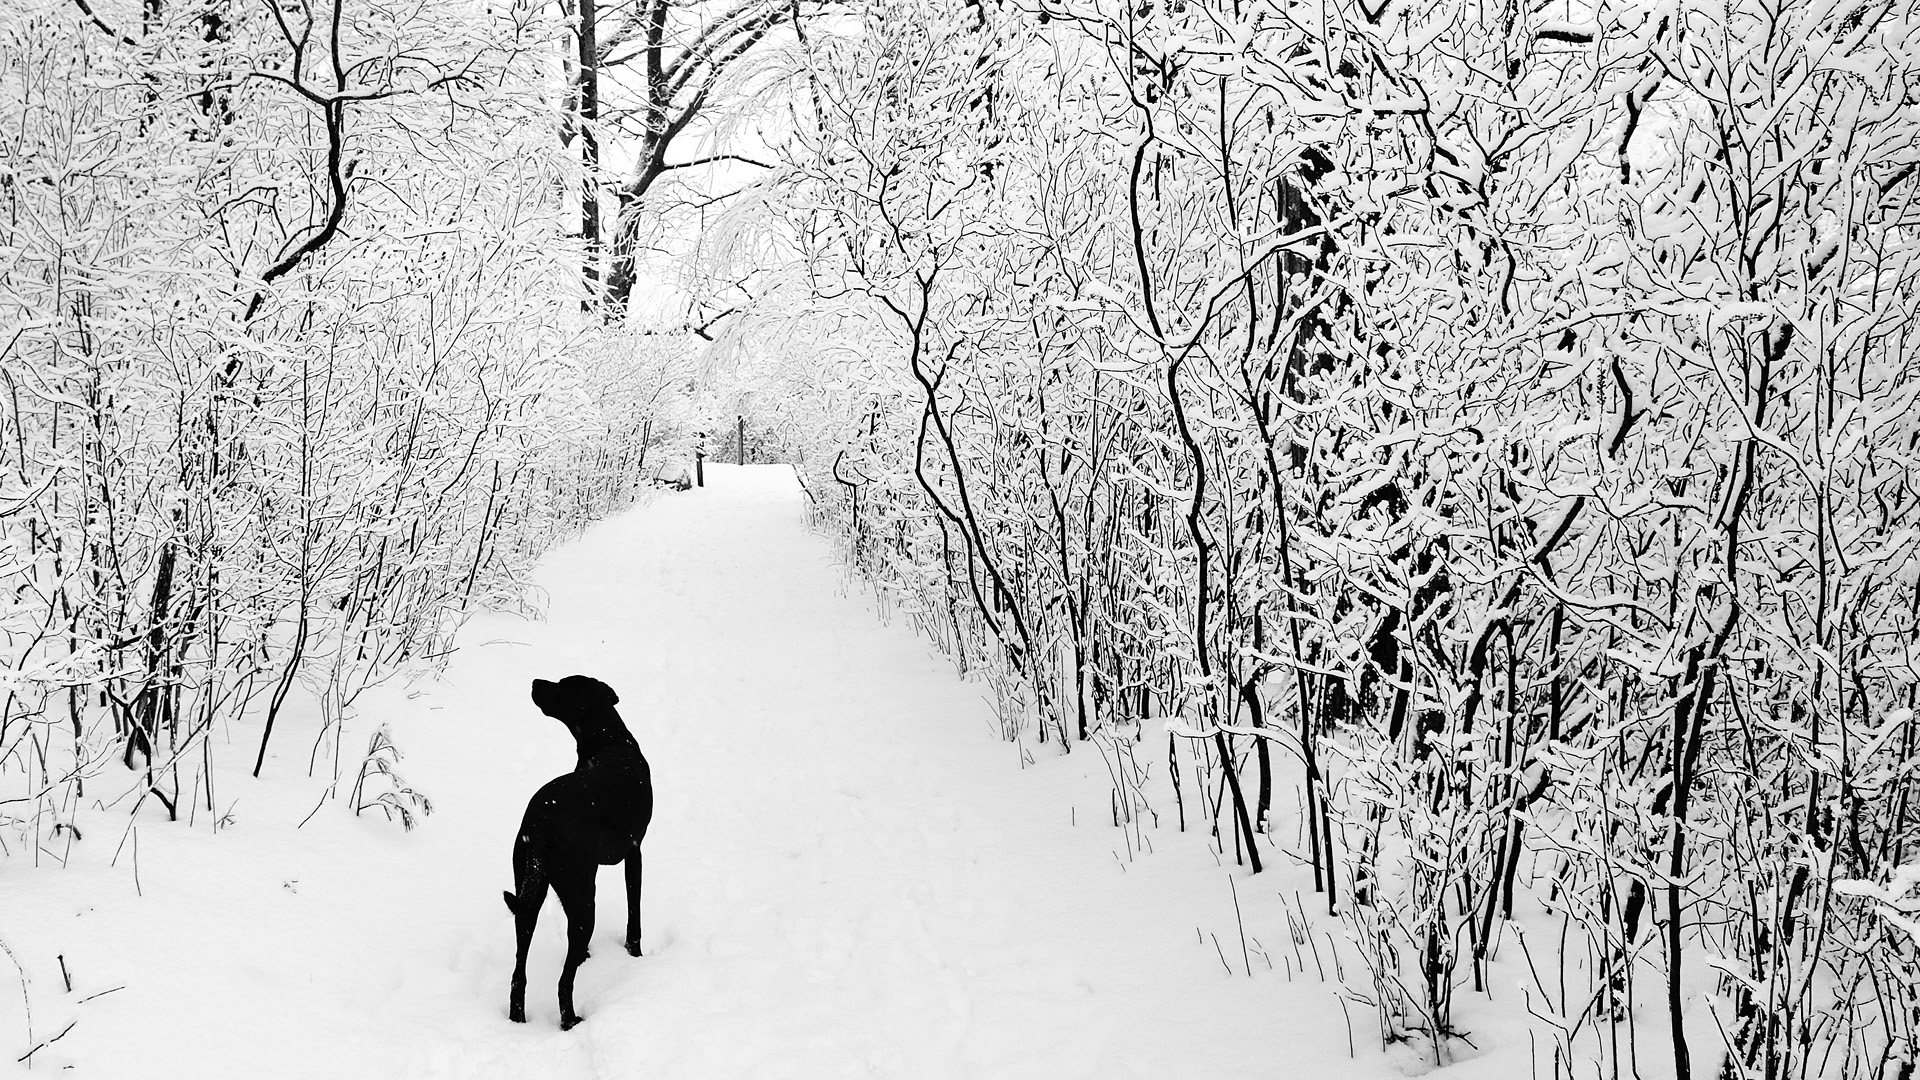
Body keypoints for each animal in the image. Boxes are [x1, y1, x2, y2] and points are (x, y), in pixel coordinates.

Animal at [503, 672, 652, 1022]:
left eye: (562, 684)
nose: (535, 681)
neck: (609, 740)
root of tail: (542, 818)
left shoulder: (595, 867)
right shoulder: (634, 851)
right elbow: (635, 912)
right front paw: (636, 955)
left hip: (530, 893)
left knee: (519, 973)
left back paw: (518, 1018)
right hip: (582, 903)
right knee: (563, 982)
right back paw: (570, 1020)